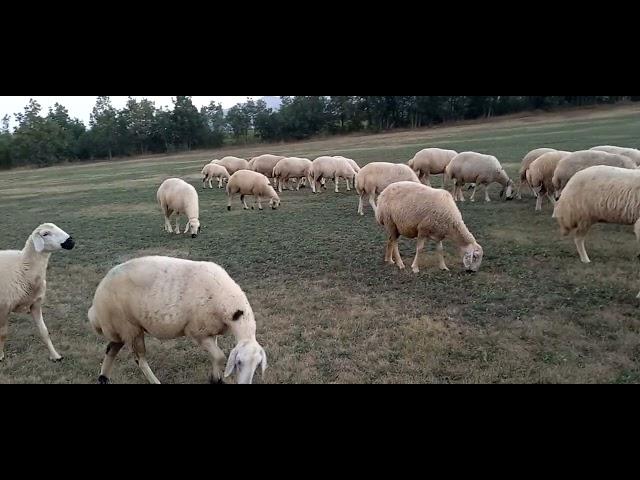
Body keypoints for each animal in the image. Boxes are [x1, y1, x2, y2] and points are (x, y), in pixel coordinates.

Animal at [0, 223, 75, 362]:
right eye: (45, 234)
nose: (71, 241)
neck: (23, 267)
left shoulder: (35, 304)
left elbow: (44, 332)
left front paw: (55, 355)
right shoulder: (3, 308)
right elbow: (3, 334)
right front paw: (0, 355)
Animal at [87, 256, 268, 384]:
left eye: (258, 365)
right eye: (238, 363)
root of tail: (95, 305)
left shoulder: (211, 330)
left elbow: (215, 355)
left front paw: (216, 377)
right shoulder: (197, 332)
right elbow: (220, 357)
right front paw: (215, 380)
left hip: (120, 326)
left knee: (111, 349)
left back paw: (103, 378)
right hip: (129, 327)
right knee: (140, 359)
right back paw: (155, 381)